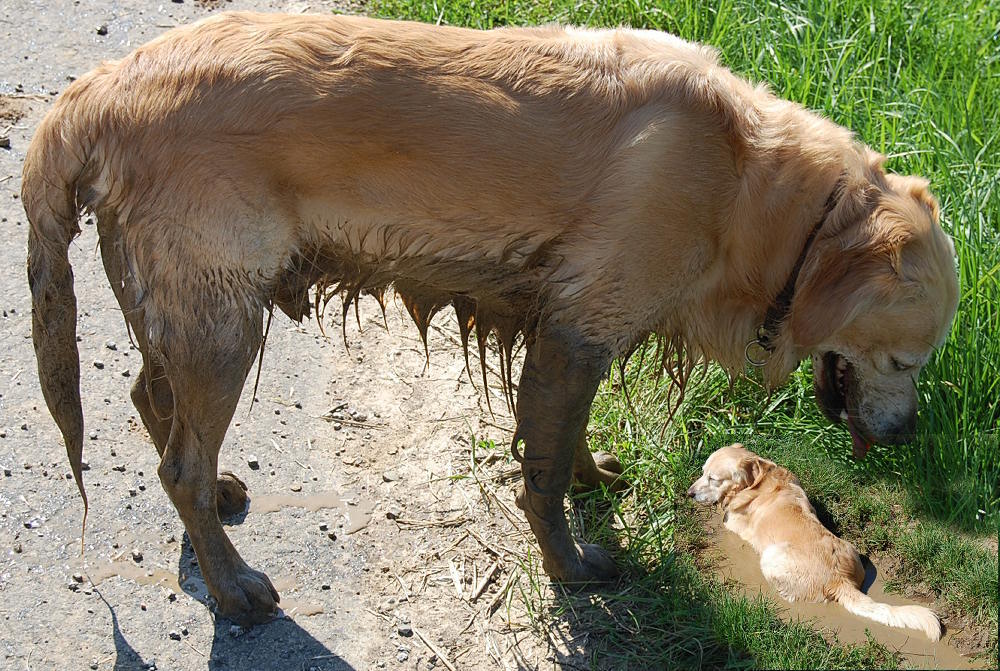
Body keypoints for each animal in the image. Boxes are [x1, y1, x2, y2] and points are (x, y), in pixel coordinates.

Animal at [684, 446, 940, 640]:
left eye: (713, 479)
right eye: (702, 472)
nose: (689, 493)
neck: (758, 481)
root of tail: (840, 580)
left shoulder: (732, 521)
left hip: (771, 555)